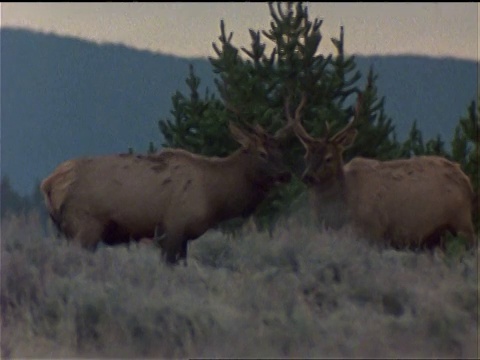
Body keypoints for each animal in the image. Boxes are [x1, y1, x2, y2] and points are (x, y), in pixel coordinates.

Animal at [39, 121, 290, 264]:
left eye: (280, 150)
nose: (284, 174)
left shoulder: (182, 236)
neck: (214, 197)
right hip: (85, 226)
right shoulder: (173, 226)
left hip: (65, 230)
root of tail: (49, 183)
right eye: (261, 153)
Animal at [284, 93, 476, 250]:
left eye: (329, 158)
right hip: (434, 237)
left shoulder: (373, 230)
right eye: (306, 156)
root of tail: (466, 179)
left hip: (463, 222)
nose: (308, 177)